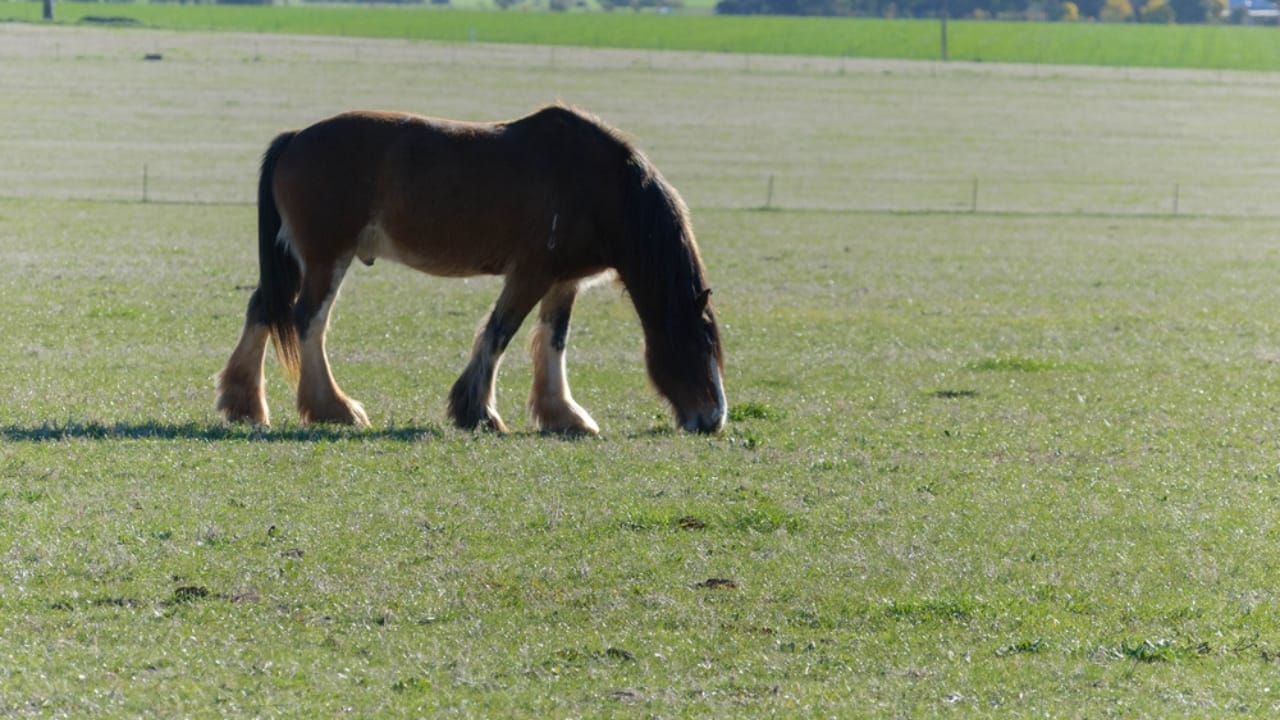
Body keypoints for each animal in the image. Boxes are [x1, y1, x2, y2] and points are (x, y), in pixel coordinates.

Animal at [216, 104, 726, 435]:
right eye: (695, 344)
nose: (714, 419)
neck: (603, 186)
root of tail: (294, 138)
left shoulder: (563, 282)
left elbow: (553, 342)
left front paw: (563, 415)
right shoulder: (531, 274)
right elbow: (499, 333)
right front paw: (477, 412)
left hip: (298, 260)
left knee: (264, 307)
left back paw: (244, 404)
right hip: (326, 258)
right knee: (308, 320)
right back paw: (333, 409)